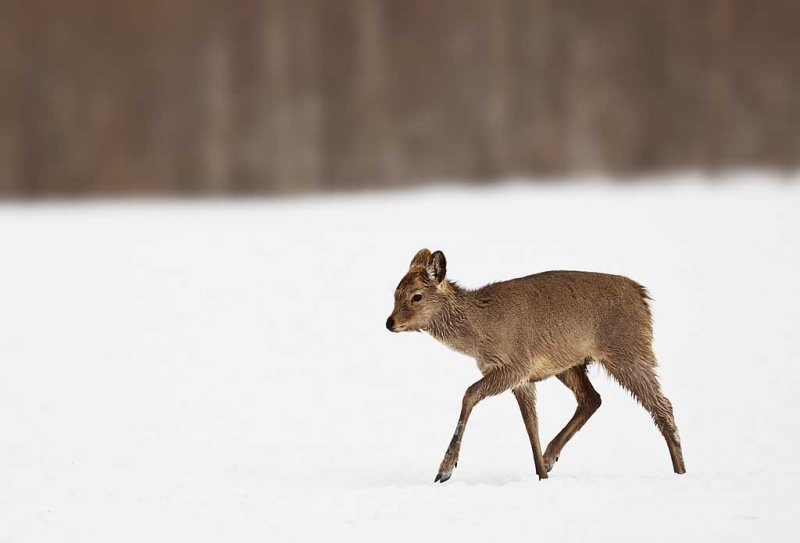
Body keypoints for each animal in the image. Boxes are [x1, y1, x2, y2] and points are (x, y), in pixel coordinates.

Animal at [384, 249, 684, 482]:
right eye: (395, 293)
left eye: (416, 296)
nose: (390, 322)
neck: (480, 333)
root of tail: (643, 297)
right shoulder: (523, 378)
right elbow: (531, 425)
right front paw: (542, 475)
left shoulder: (514, 366)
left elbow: (469, 394)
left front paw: (445, 469)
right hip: (571, 364)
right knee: (592, 398)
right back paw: (550, 456)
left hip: (628, 351)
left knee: (662, 406)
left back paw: (680, 472)